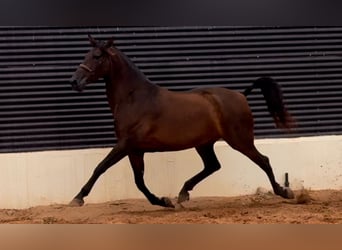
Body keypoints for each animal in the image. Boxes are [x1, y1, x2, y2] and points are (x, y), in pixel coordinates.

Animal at [68, 34, 296, 208]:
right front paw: (163, 201)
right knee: (213, 166)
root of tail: (241, 95)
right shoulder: (135, 149)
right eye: (85, 55)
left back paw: (284, 192)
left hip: (240, 140)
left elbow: (101, 167)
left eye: (97, 56)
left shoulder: (125, 144)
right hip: (204, 144)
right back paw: (183, 193)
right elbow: (139, 181)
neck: (135, 98)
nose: (74, 81)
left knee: (263, 160)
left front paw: (77, 198)